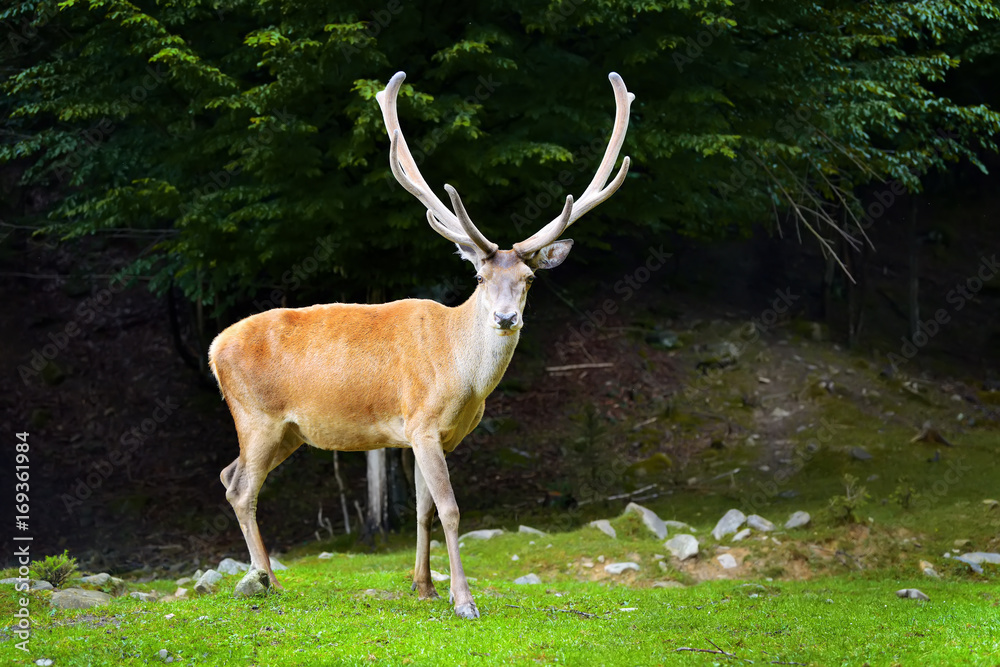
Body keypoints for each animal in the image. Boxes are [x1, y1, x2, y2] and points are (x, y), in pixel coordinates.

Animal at [208, 70, 636, 620]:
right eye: (478, 276)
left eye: (528, 278)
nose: (505, 317)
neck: (462, 378)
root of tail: (214, 347)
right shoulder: (422, 421)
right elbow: (451, 509)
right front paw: (464, 600)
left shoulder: (432, 436)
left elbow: (424, 509)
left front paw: (425, 587)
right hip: (256, 415)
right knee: (242, 488)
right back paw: (265, 580)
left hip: (288, 432)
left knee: (228, 473)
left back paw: (267, 575)